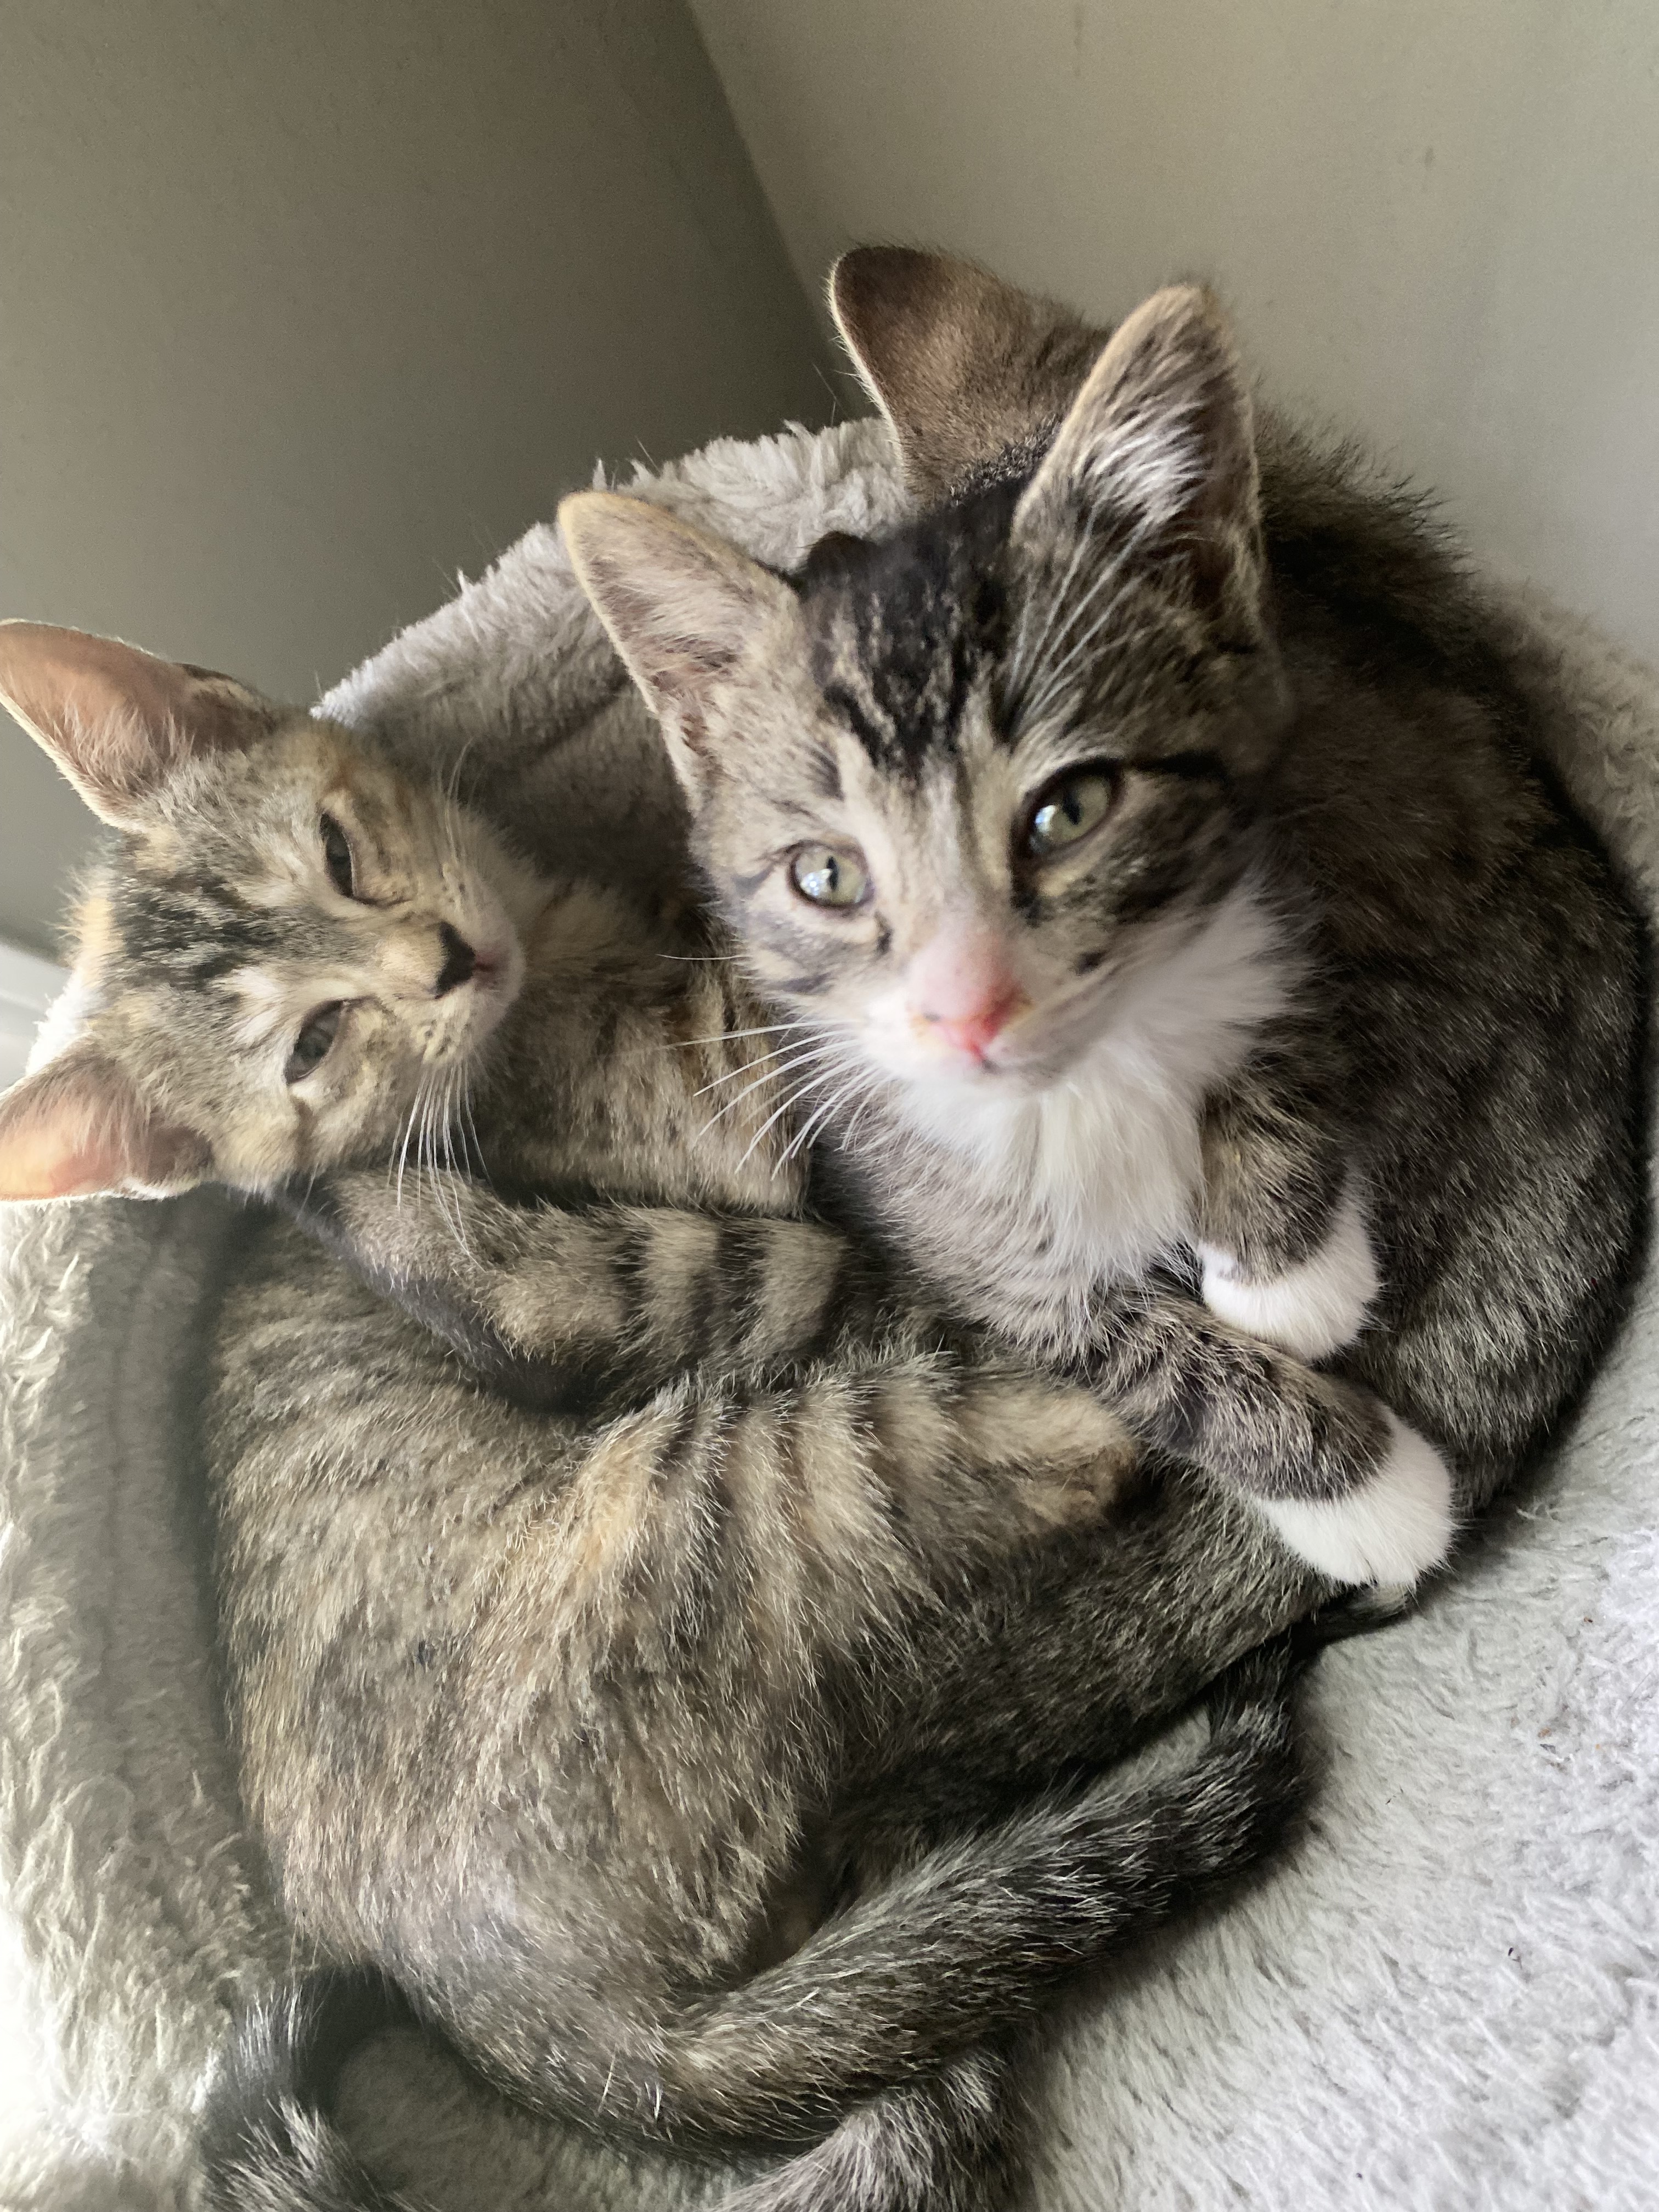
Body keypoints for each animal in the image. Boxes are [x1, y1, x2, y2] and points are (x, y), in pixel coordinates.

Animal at [0, 624, 1327, 2212]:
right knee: (1041, 1417)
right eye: (313, 1044)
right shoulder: (730, 1154)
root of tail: (558, 2036)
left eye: (338, 852)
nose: (445, 959)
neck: (562, 973)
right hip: (746, 1459)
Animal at [562, 251, 1654, 1601]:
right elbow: (1115, 1342)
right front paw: (1368, 1491)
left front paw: (1284, 1268)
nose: (970, 1006)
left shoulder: (1306, 871)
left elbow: (1273, 1021)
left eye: (1065, 812)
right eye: (828, 876)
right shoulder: (934, 1207)